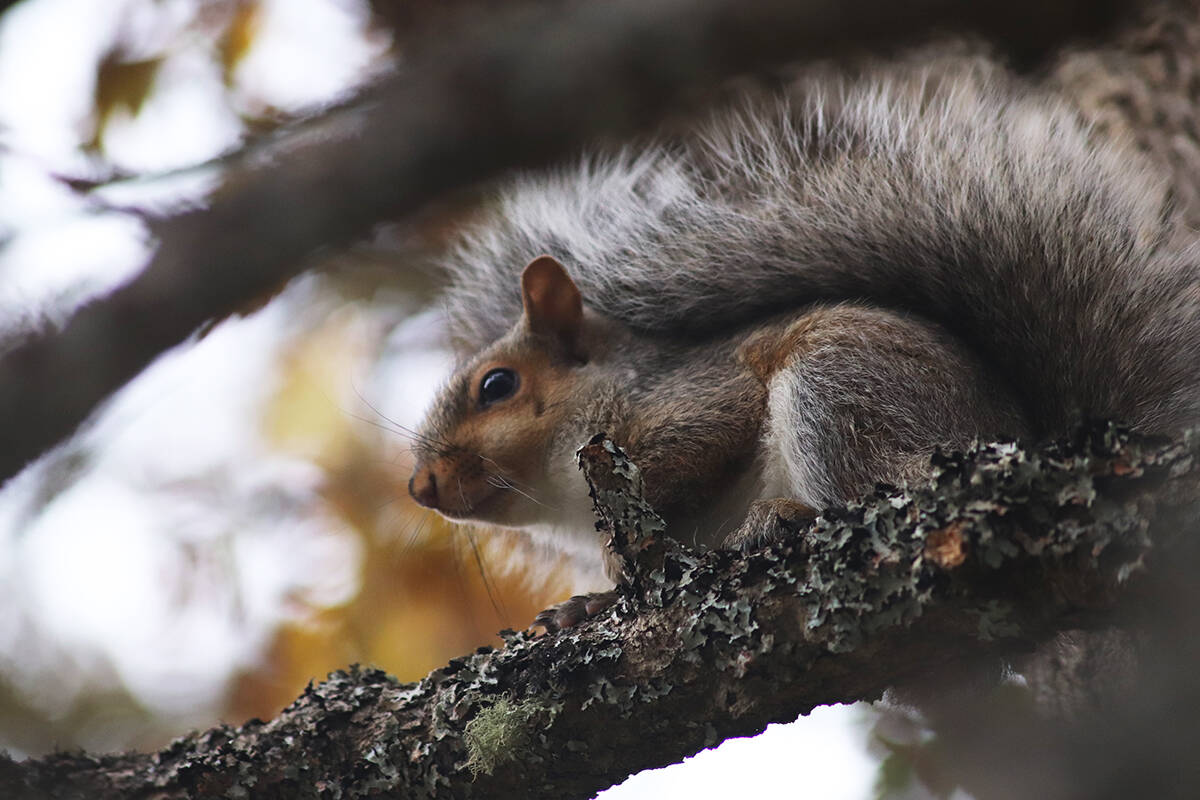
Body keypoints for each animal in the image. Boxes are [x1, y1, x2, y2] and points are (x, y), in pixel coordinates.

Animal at [405, 51, 1200, 633]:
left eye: (498, 385)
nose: (421, 487)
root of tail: (1028, 440)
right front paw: (587, 605)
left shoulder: (692, 398)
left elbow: (700, 445)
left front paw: (617, 569)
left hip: (839, 384)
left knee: (885, 484)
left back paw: (786, 516)